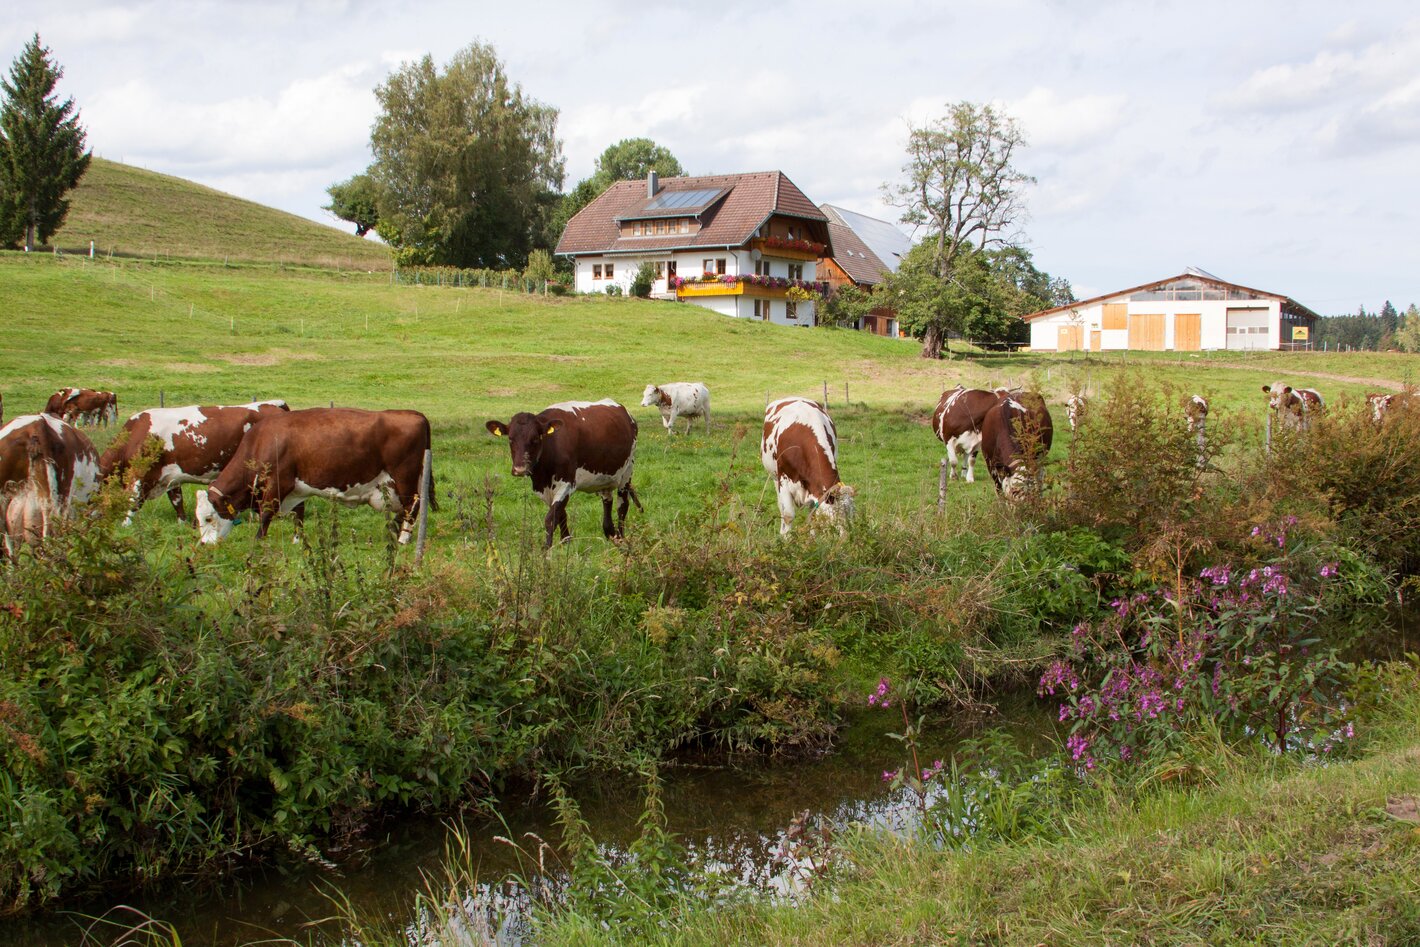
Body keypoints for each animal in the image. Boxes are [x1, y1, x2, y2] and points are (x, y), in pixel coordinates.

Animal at [98, 397, 289, 522]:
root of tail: (273, 405)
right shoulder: (170, 476)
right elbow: (177, 501)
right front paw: (182, 523)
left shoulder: (140, 475)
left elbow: (132, 503)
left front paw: (125, 526)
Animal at [191, 403, 431, 545]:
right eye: (198, 519)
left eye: (209, 517)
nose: (204, 544)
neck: (262, 442)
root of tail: (414, 414)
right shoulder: (296, 488)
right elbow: (299, 513)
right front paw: (297, 540)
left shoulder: (278, 483)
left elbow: (266, 513)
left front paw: (259, 540)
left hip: (404, 476)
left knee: (413, 505)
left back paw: (403, 537)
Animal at [488, 397, 644, 548]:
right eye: (510, 439)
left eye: (535, 439)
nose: (520, 469)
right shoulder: (546, 490)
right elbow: (561, 515)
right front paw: (566, 542)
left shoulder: (566, 484)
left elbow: (551, 519)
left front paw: (546, 551)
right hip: (605, 477)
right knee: (607, 503)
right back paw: (612, 535)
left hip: (627, 472)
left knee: (622, 506)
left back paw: (622, 539)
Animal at [761, 397, 857, 536]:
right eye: (834, 517)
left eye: (852, 515)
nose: (847, 538)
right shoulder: (783, 481)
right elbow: (788, 515)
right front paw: (785, 538)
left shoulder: (814, 488)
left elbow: (813, 515)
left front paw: (812, 539)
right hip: (774, 476)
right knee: (781, 507)